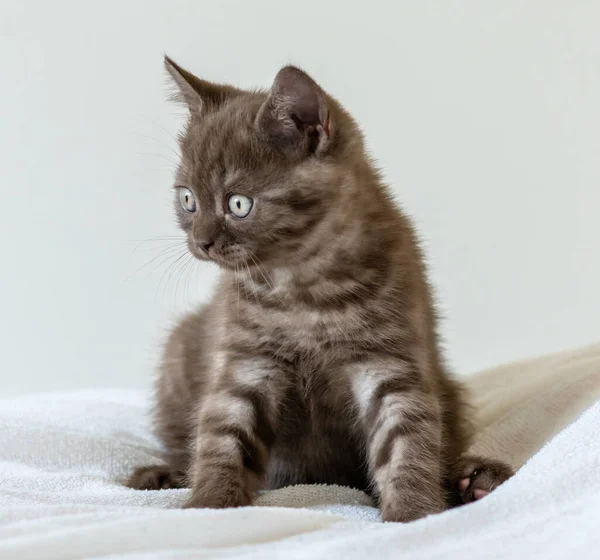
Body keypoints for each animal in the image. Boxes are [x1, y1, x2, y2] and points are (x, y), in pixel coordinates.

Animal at [125, 57, 510, 520]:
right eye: (188, 200)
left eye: (238, 204)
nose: (200, 241)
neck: (303, 290)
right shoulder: (248, 360)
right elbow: (223, 433)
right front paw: (209, 506)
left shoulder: (388, 360)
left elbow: (407, 437)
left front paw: (414, 514)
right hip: (179, 350)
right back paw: (162, 474)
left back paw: (475, 478)